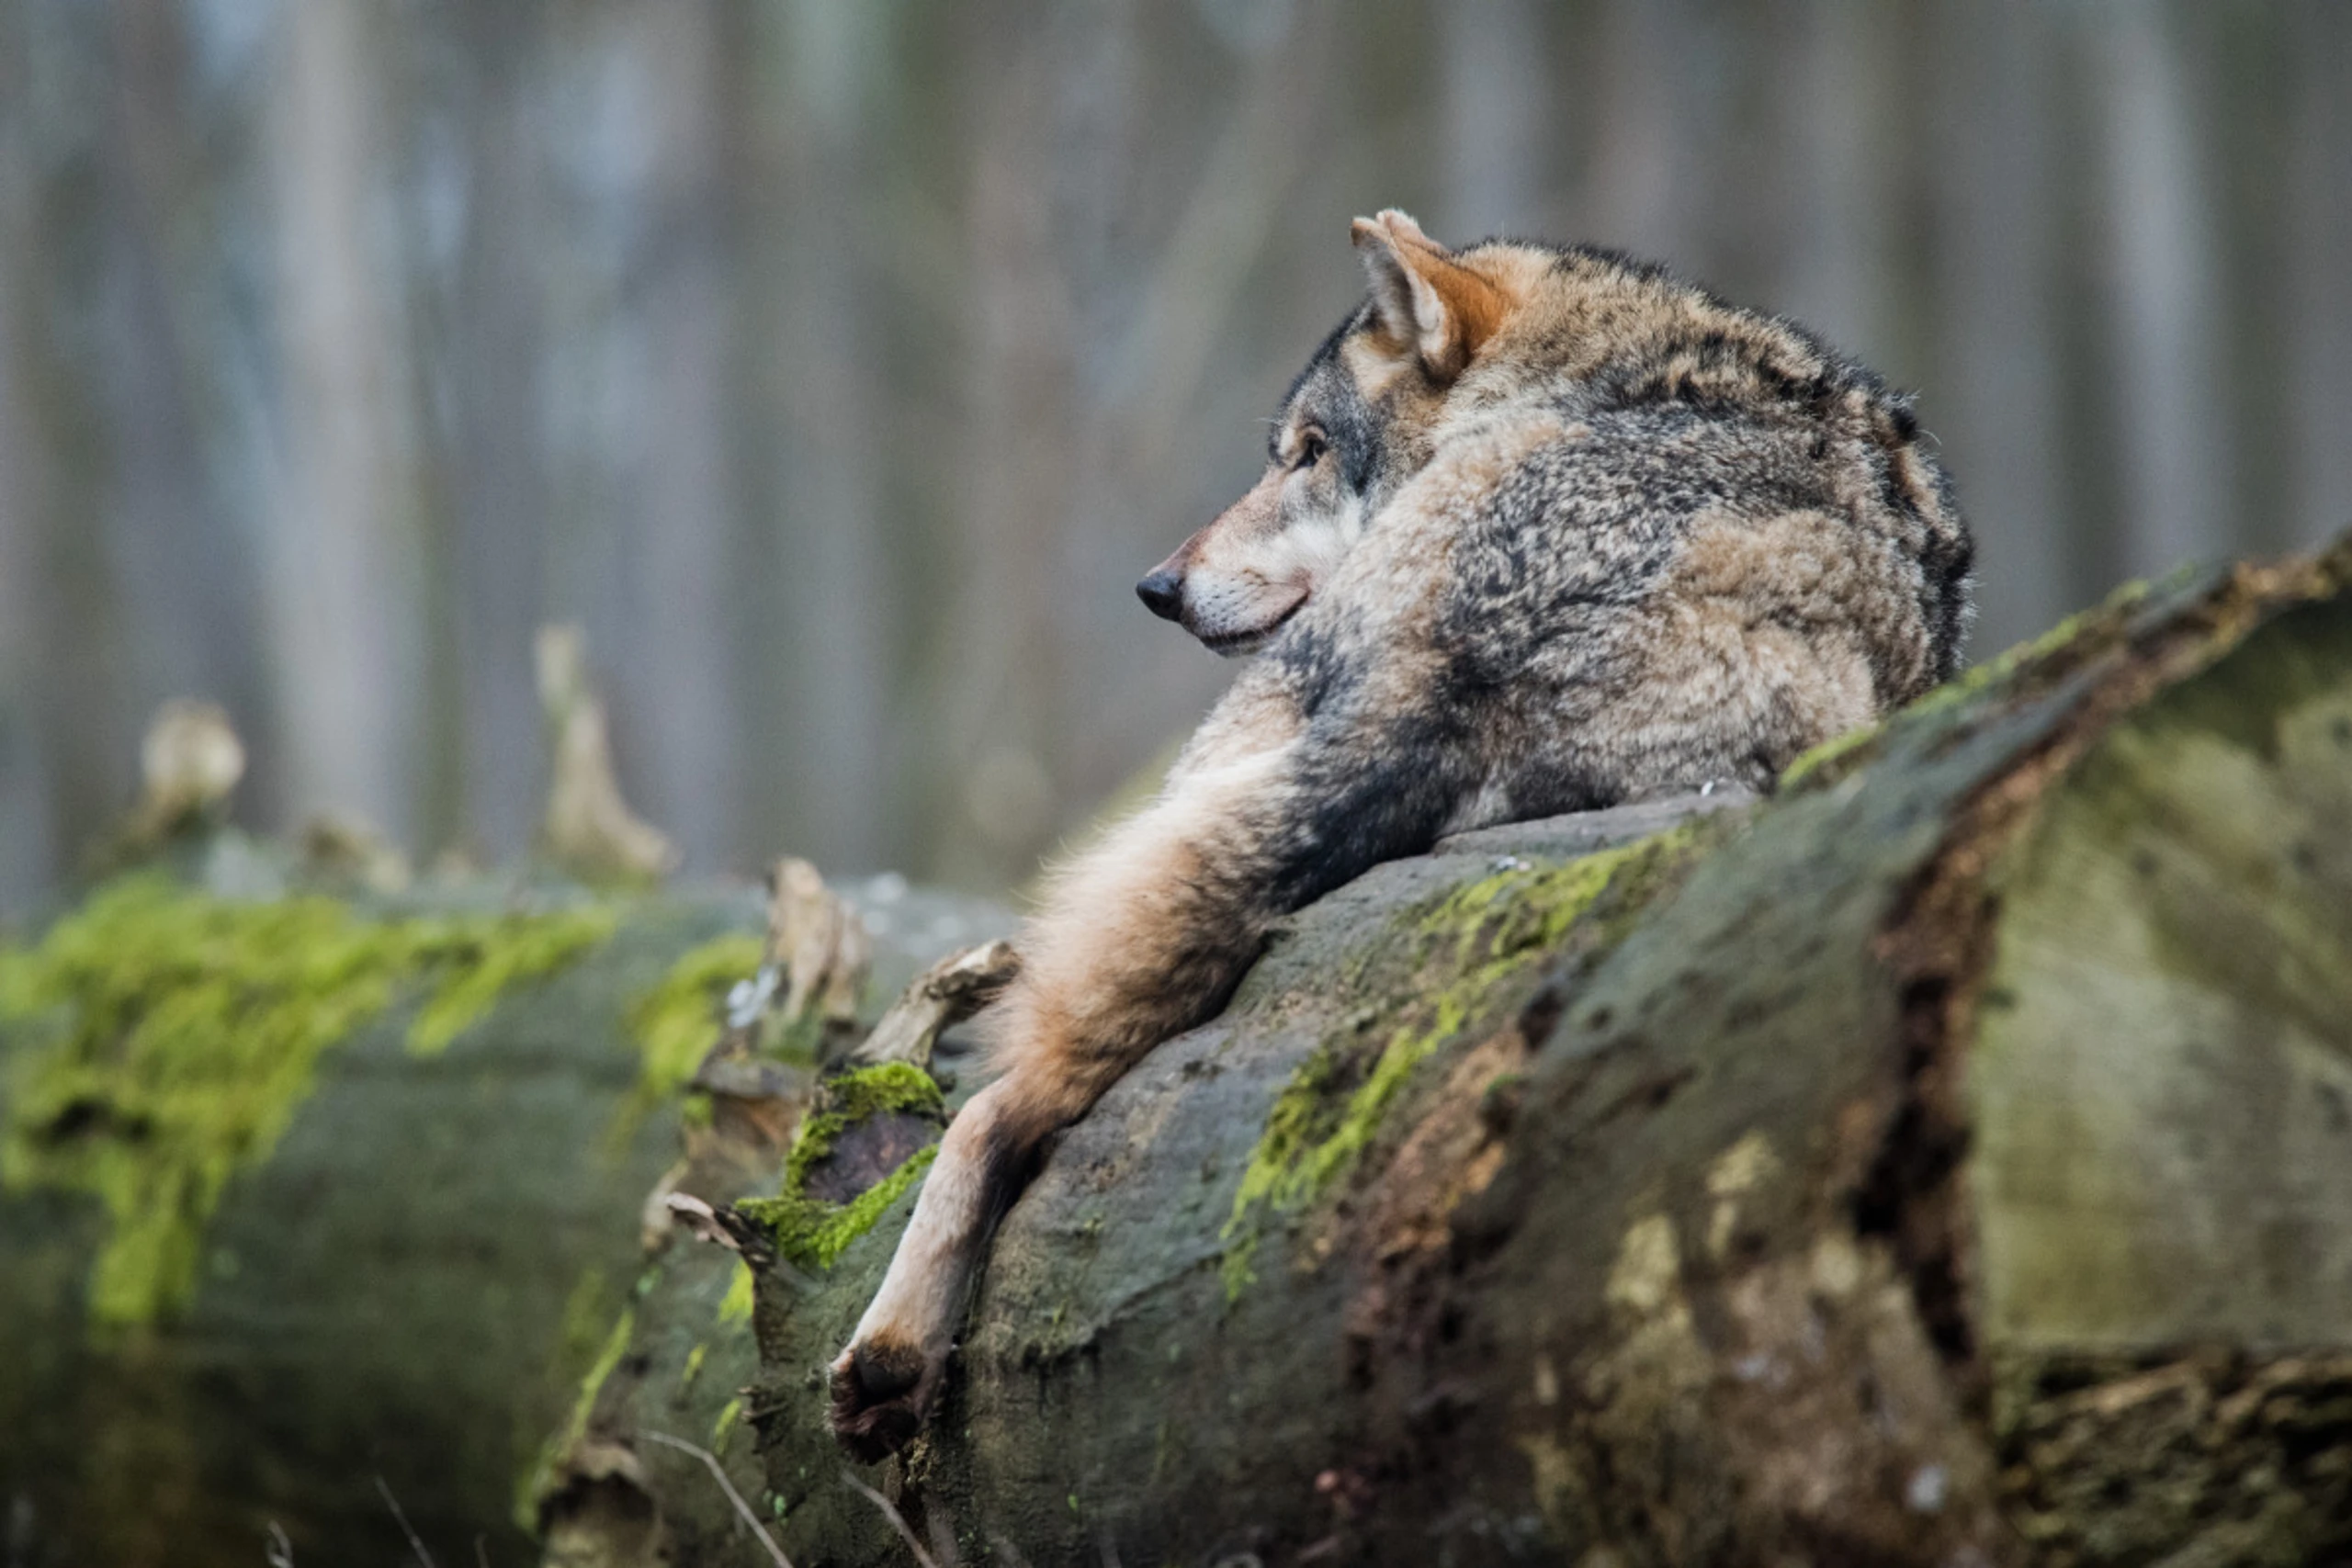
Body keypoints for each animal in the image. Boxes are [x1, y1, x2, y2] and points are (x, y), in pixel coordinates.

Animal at [829, 210, 1972, 1460]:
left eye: (1307, 452)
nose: (1154, 588)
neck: (1625, 370)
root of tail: (1465, 657)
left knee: (1009, 1096)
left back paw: (890, 1357)